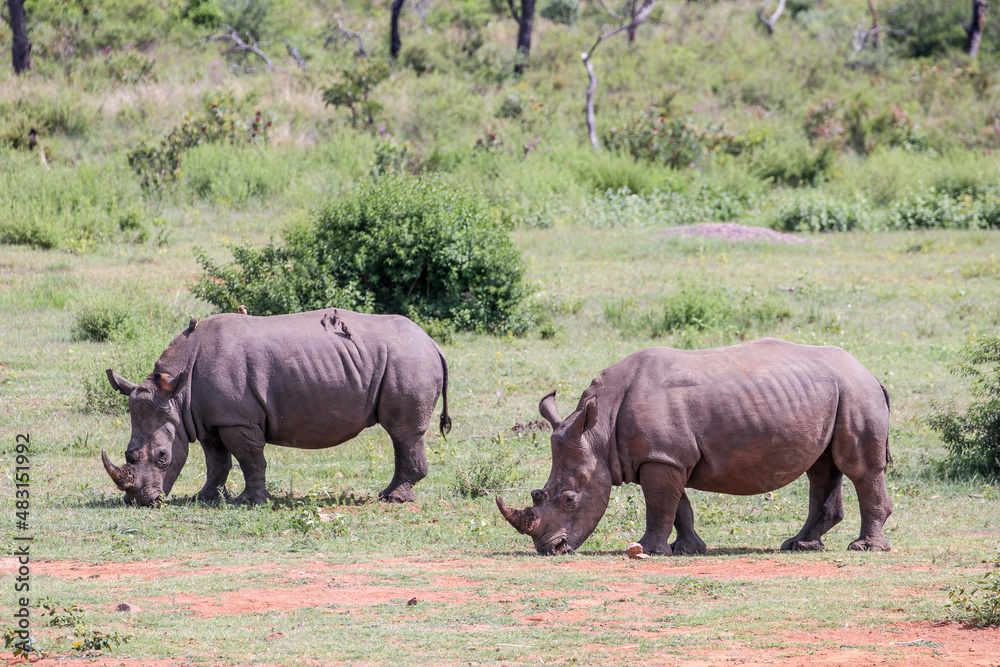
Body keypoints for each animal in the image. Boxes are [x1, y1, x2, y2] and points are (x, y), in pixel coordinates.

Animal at [102, 309, 451, 507]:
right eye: (128, 454)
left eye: (162, 456)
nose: (141, 502)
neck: (176, 394)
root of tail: (432, 342)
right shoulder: (210, 418)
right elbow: (218, 462)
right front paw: (205, 498)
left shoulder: (238, 419)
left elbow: (250, 460)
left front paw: (249, 502)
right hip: (408, 357)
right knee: (403, 434)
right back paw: (387, 495)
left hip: (409, 358)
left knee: (403, 432)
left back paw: (393, 499)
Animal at [497, 338, 892, 556]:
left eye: (569, 500)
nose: (549, 549)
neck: (598, 432)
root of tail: (871, 372)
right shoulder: (665, 457)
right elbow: (677, 506)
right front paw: (685, 550)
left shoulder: (662, 458)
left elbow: (659, 505)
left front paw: (648, 551)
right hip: (837, 392)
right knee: (823, 467)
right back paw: (800, 545)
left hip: (857, 392)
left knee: (859, 469)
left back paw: (864, 549)